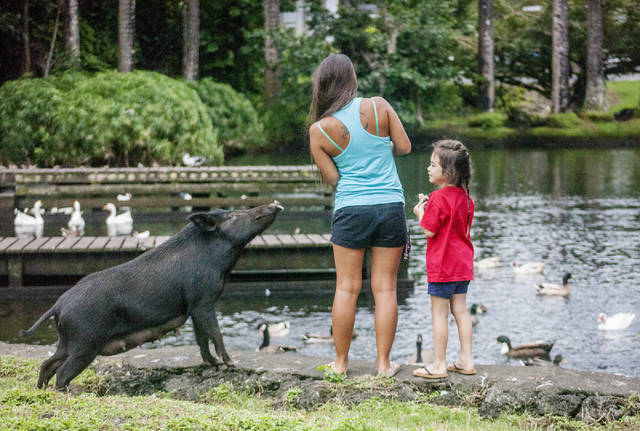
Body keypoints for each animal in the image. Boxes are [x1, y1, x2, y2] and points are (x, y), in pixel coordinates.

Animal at [20, 202, 282, 392]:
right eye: (233, 216)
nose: (275, 204)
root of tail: (58, 305)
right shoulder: (203, 300)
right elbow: (215, 333)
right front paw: (230, 363)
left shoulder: (193, 307)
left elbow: (202, 339)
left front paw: (213, 363)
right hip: (86, 340)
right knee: (62, 371)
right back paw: (65, 393)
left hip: (68, 340)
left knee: (47, 364)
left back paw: (40, 389)